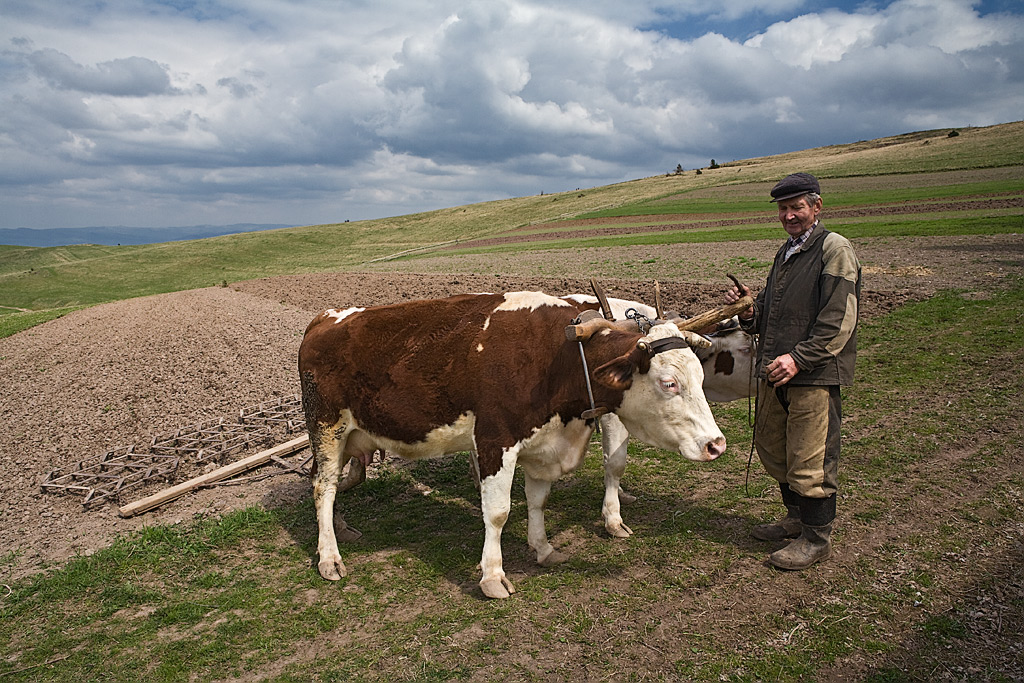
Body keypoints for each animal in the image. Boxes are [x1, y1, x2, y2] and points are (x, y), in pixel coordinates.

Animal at [299, 291, 727, 599]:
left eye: (701, 375)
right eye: (669, 383)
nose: (716, 444)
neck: (560, 356)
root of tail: (325, 318)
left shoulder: (543, 444)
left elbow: (538, 500)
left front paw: (543, 549)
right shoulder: (495, 441)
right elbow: (498, 513)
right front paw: (492, 577)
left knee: (323, 482)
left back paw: (338, 530)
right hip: (326, 426)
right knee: (323, 486)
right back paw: (329, 558)